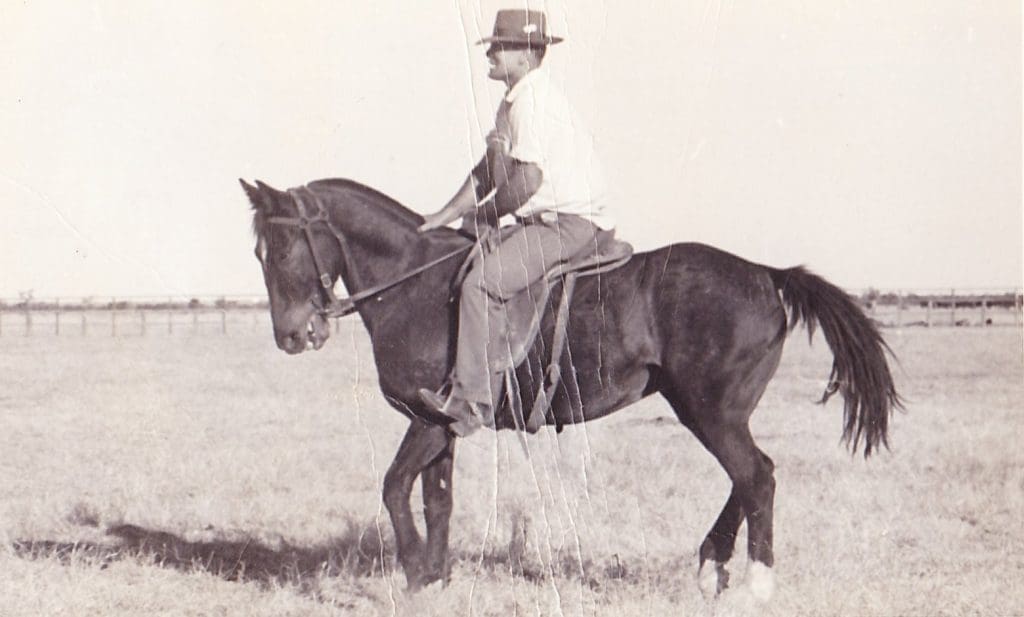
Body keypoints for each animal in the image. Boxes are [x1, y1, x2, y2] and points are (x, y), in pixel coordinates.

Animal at [239, 175, 897, 601]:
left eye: (284, 248)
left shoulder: (427, 421)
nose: (291, 335)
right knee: (752, 476)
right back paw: (712, 565)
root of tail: (767, 273)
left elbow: (395, 487)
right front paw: (438, 578)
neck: (414, 283)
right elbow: (436, 500)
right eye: (258, 252)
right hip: (711, 411)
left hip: (711, 411)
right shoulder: (443, 425)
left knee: (756, 475)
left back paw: (757, 584)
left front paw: (416, 578)